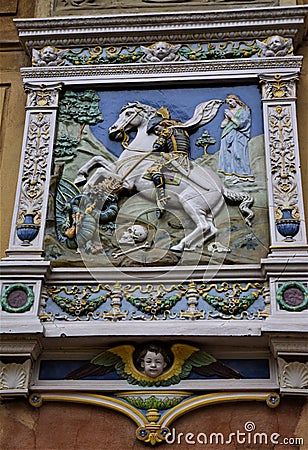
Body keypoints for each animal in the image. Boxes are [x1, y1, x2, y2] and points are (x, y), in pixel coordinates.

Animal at [76, 100, 254, 251]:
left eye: (128, 113)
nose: (112, 130)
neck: (142, 153)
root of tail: (222, 187)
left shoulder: (127, 182)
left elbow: (100, 170)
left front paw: (87, 187)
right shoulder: (118, 170)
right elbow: (97, 159)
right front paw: (81, 176)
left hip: (190, 203)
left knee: (203, 226)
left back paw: (179, 245)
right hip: (206, 210)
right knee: (211, 229)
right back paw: (190, 246)